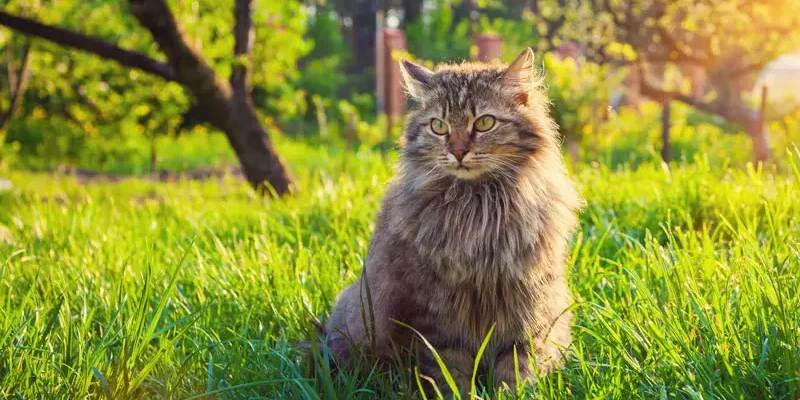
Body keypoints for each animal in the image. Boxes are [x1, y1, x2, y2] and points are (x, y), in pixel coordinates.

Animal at [324, 47, 580, 394]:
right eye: (439, 126)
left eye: (484, 122)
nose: (458, 151)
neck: (479, 207)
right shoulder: (439, 313)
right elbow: (450, 371)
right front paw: (461, 393)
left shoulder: (528, 302)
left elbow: (517, 366)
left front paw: (510, 393)